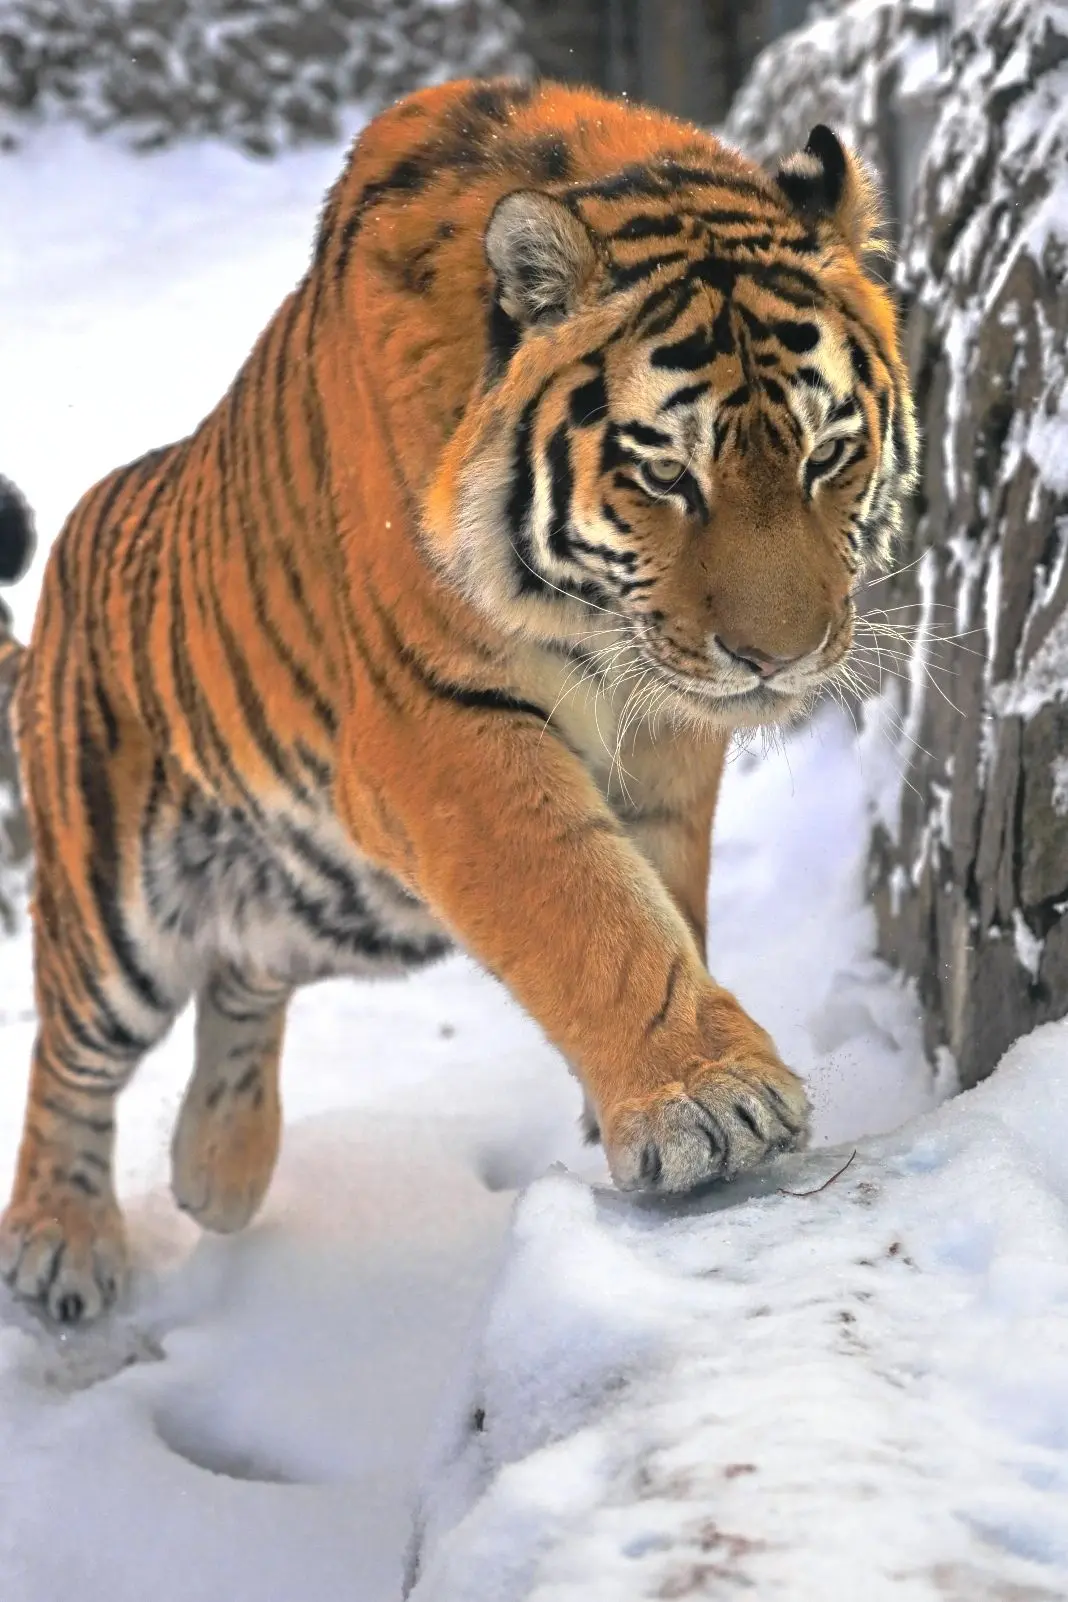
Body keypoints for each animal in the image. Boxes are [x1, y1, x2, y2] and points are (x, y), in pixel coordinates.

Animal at [0, 79, 917, 1324]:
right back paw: (61, 1243)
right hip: (114, 904)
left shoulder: (666, 738)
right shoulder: (438, 727)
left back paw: (217, 1172)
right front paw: (707, 1102)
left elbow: (659, 898)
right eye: (665, 472)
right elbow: (585, 906)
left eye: (828, 455)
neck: (600, 632)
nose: (781, 657)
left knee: (242, 974)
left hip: (325, 898)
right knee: (69, 1056)